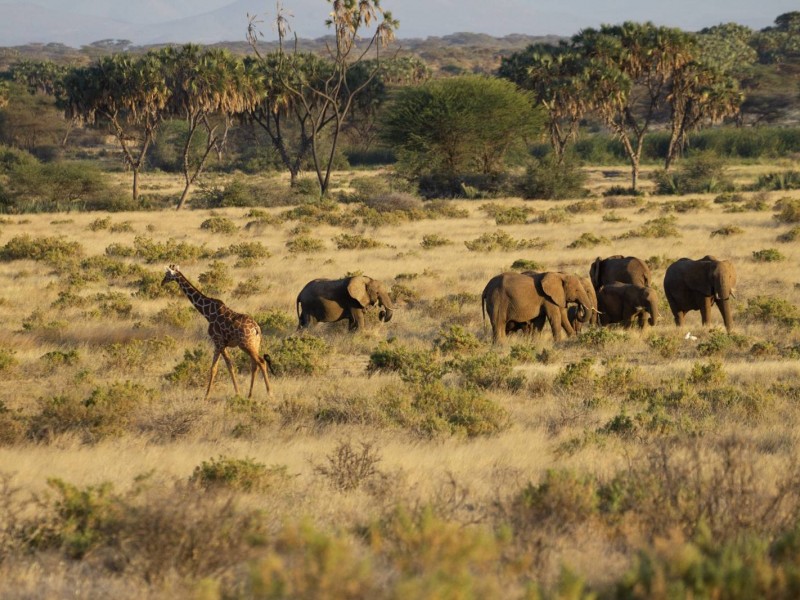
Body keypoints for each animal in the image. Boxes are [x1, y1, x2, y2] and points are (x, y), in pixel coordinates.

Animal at [161, 264, 274, 400]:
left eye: (167, 274)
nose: (162, 282)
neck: (207, 313)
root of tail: (256, 329)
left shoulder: (217, 341)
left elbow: (214, 368)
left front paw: (207, 396)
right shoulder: (223, 344)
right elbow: (229, 365)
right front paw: (237, 392)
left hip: (246, 344)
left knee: (261, 362)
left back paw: (269, 393)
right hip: (254, 344)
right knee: (254, 365)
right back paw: (249, 395)